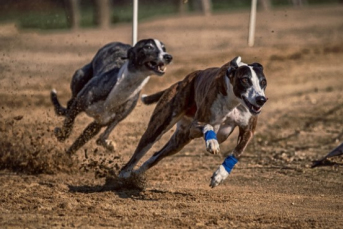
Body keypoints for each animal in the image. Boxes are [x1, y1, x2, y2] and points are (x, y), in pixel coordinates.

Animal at [120, 56, 268, 188]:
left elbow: (237, 151)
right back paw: (124, 175)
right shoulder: (196, 125)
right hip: (159, 127)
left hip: (179, 141)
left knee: (156, 156)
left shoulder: (248, 130)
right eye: (245, 80)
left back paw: (137, 174)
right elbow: (208, 126)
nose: (261, 99)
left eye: (263, 82)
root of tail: (181, 81)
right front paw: (212, 143)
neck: (234, 101)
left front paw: (220, 175)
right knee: (139, 153)